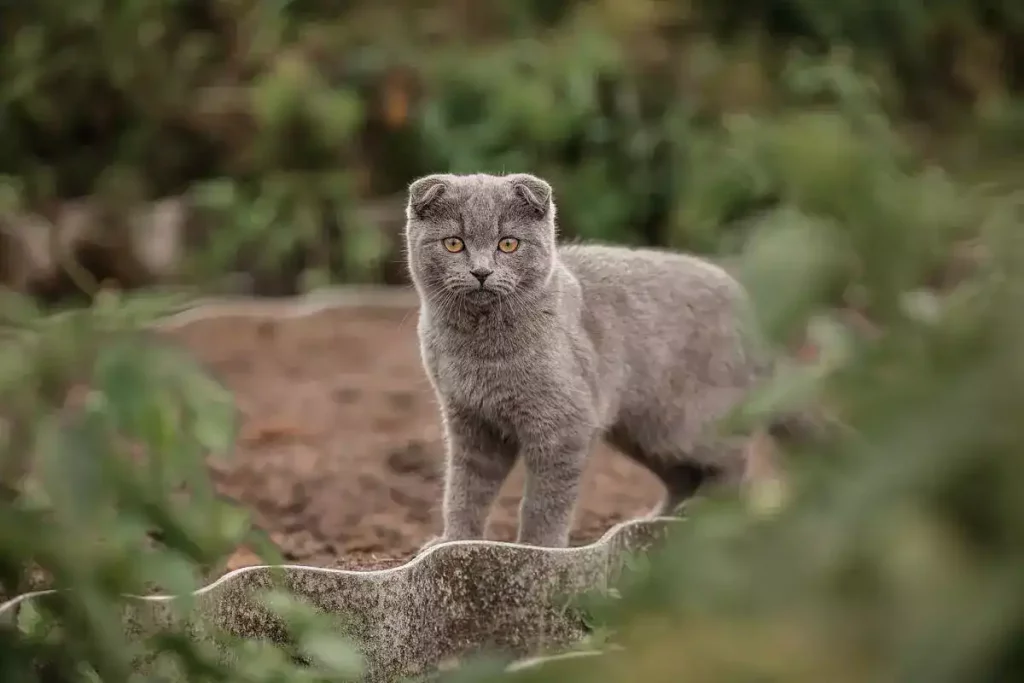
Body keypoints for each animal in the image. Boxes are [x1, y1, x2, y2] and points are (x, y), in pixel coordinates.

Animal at [405, 172, 782, 548]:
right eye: (454, 244)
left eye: (508, 244)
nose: (481, 272)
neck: (479, 351)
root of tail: (752, 314)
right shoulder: (469, 421)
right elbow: (465, 489)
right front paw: (453, 541)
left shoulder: (565, 424)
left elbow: (544, 501)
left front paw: (537, 549)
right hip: (643, 432)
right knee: (682, 476)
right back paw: (657, 519)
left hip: (687, 424)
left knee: (734, 458)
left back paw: (703, 511)